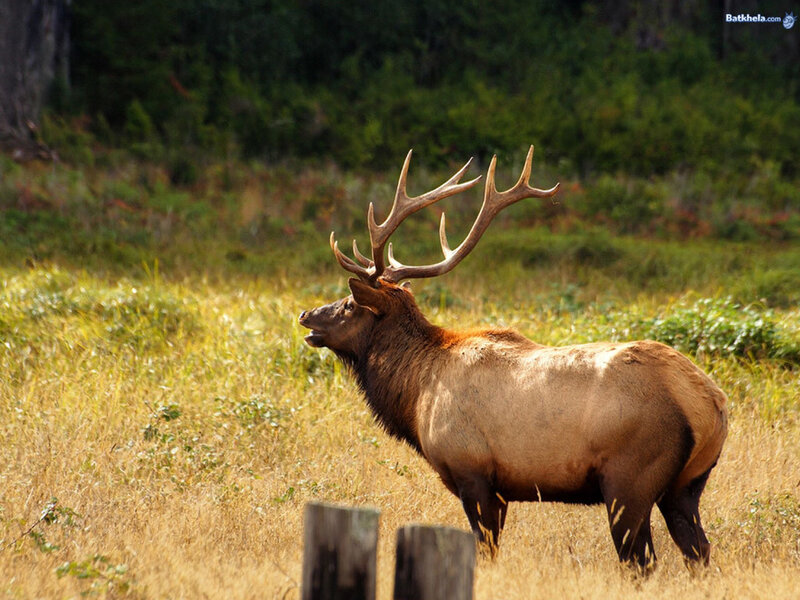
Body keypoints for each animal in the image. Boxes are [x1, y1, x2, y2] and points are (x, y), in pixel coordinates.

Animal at [298, 147, 728, 572]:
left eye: (349, 304)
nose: (306, 315)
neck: (416, 396)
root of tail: (711, 404)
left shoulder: (472, 471)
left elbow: (485, 550)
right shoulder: (501, 489)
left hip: (629, 478)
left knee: (641, 560)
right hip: (686, 485)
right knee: (699, 551)